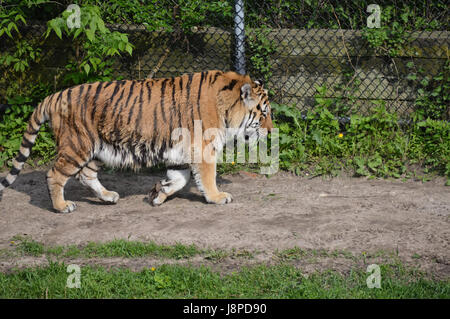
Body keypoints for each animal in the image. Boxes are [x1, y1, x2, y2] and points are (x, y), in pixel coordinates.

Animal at [0, 71, 274, 214]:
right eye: (263, 113)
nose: (271, 132)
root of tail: (54, 95)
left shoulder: (181, 151)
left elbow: (179, 179)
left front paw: (158, 193)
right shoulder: (203, 148)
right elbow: (207, 178)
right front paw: (218, 197)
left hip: (99, 149)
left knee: (85, 175)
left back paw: (108, 196)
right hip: (77, 145)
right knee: (54, 174)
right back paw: (61, 206)